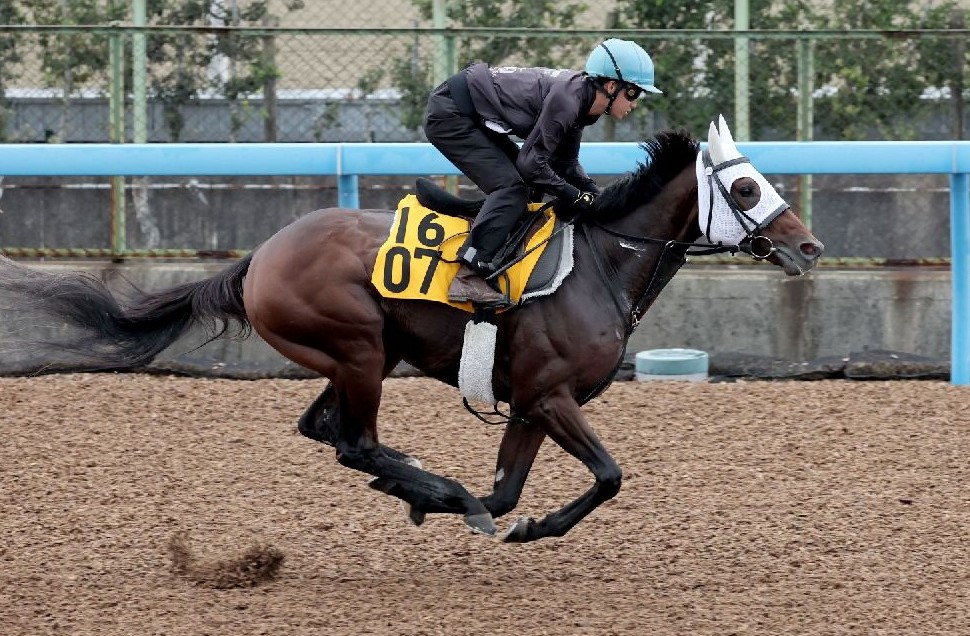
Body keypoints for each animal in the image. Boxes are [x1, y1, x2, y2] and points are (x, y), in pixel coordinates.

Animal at [0, 115, 824, 540]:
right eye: (747, 188)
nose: (809, 247)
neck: (599, 263)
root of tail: (261, 254)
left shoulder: (530, 404)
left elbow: (510, 493)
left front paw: (501, 516)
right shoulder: (551, 397)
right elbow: (606, 476)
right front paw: (482, 510)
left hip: (356, 356)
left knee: (325, 431)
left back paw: (417, 482)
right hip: (359, 349)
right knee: (353, 442)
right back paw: (429, 485)